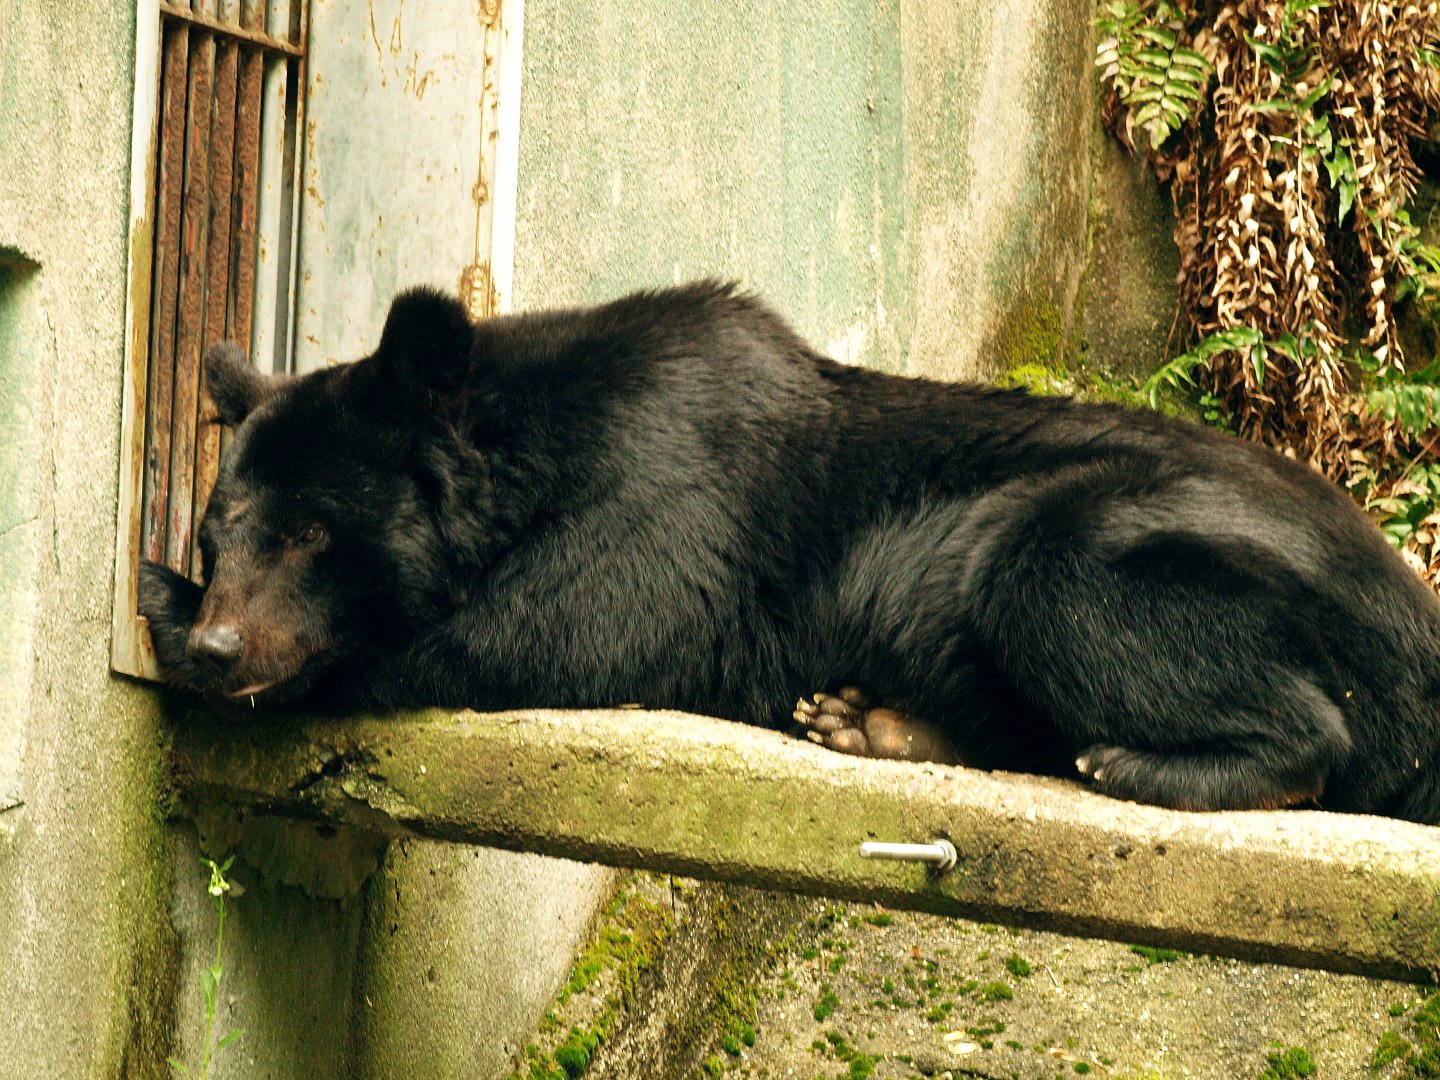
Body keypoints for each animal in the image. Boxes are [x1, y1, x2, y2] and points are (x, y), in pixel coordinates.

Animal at [138, 281, 1440, 823]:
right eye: (221, 527)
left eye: (315, 534)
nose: (222, 647)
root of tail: (1417, 624)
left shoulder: (668, 500)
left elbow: (553, 631)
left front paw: (164, 613)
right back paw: (868, 722)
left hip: (1126, 542)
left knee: (1079, 590)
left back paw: (1143, 764)